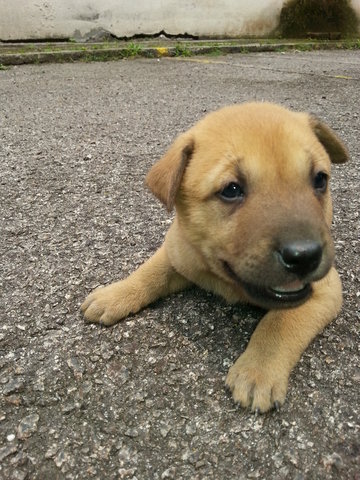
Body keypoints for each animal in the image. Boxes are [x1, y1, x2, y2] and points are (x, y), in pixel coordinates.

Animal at [81, 104, 348, 412]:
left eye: (320, 180)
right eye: (231, 190)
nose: (305, 256)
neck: (226, 280)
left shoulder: (326, 289)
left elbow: (279, 322)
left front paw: (258, 371)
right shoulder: (177, 249)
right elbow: (150, 272)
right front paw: (114, 295)